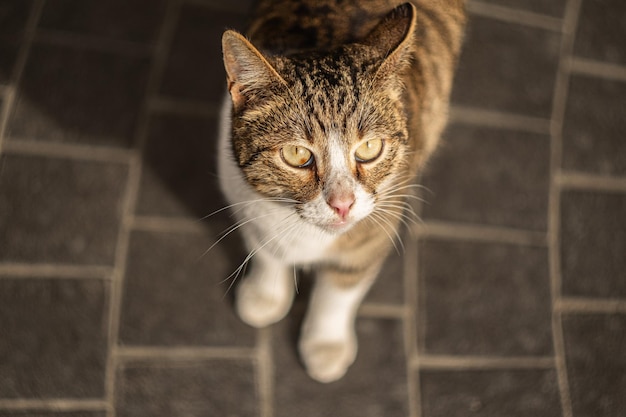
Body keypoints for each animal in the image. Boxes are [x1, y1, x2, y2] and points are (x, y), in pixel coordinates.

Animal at [218, 0, 464, 382]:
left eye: (370, 148)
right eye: (297, 154)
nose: (342, 203)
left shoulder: (378, 223)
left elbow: (339, 289)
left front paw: (324, 344)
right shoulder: (241, 196)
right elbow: (266, 250)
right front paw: (265, 295)